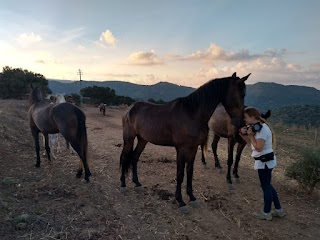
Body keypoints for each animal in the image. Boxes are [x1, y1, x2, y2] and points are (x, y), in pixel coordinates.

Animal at [119, 72, 250, 213]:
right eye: (242, 94)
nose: (240, 124)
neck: (192, 114)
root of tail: (130, 109)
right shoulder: (181, 149)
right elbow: (180, 174)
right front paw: (180, 201)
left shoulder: (193, 148)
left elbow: (189, 172)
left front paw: (192, 197)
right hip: (129, 138)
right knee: (125, 157)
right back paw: (123, 184)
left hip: (143, 139)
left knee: (134, 157)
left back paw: (137, 183)